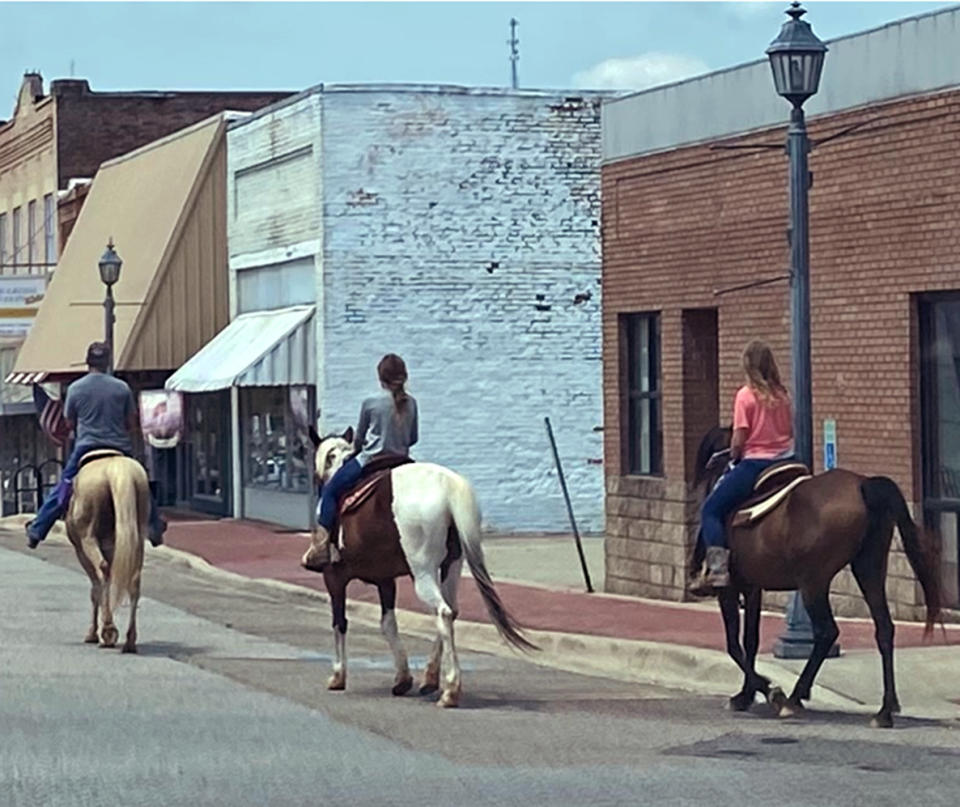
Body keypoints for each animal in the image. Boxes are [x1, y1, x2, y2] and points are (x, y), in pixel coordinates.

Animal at [64, 454, 149, 656]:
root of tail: (116, 470)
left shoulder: (82, 551)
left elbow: (95, 589)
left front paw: (92, 633)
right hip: (138, 536)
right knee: (134, 579)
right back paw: (130, 641)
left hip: (88, 539)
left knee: (102, 571)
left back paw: (108, 632)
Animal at [308, 430, 536, 708]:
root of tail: (448, 487)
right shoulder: (385, 580)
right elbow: (388, 624)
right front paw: (402, 678)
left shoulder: (335, 577)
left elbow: (339, 622)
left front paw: (338, 676)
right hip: (451, 567)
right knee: (450, 611)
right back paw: (430, 679)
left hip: (423, 571)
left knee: (443, 612)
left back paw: (450, 689)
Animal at [692, 426, 940, 728]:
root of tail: (862, 485)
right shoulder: (752, 588)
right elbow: (750, 641)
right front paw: (745, 695)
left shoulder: (728, 589)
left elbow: (733, 645)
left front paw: (769, 691)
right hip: (868, 568)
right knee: (884, 627)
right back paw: (885, 710)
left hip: (814, 582)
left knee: (826, 632)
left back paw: (794, 698)